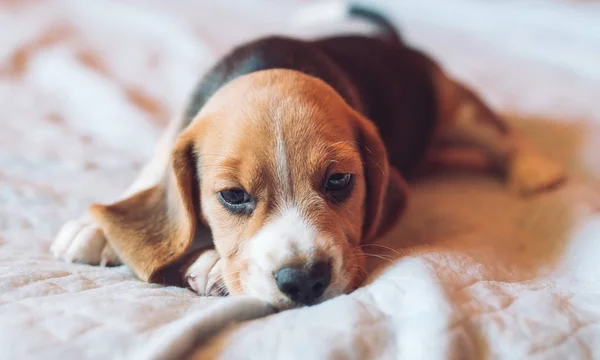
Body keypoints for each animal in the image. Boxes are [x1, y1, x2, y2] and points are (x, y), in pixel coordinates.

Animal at [49, 4, 564, 310]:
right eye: (232, 195)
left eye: (339, 181)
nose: (303, 281)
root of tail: (389, 42)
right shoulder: (178, 128)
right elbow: (153, 177)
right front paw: (95, 227)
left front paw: (212, 262)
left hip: (453, 101)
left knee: (496, 129)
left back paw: (534, 169)